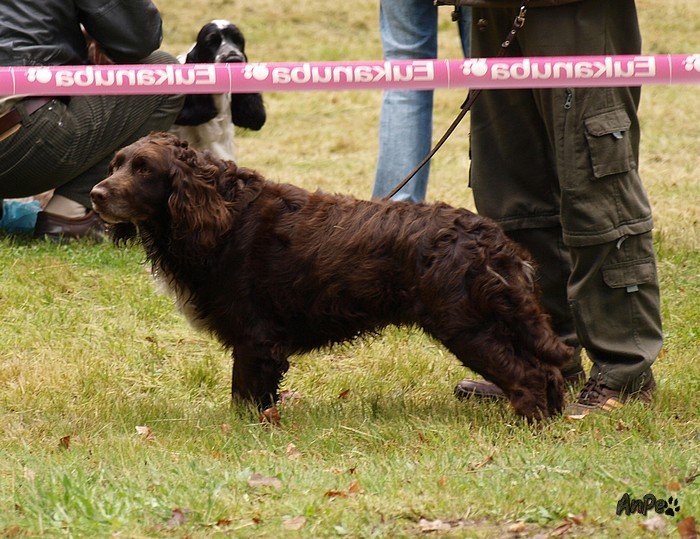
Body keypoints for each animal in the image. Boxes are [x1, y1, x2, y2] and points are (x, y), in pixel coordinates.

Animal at [90, 132, 572, 421]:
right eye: (115, 164)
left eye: (144, 169)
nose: (96, 194)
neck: (222, 214)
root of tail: (489, 237)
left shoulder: (255, 337)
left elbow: (245, 398)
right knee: (548, 372)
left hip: (468, 325)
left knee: (528, 376)